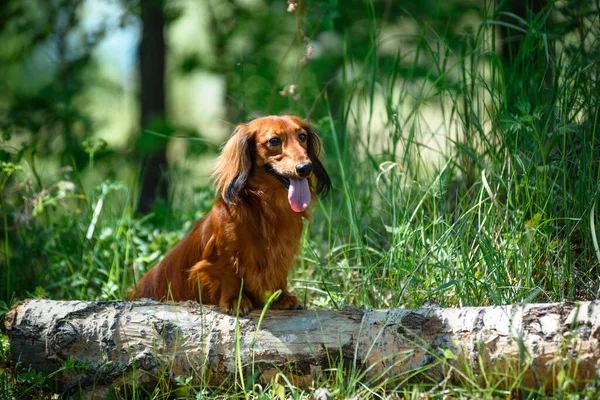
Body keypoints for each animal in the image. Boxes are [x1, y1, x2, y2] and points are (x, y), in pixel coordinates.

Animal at [130, 114, 332, 314]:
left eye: (302, 136)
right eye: (274, 141)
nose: (305, 168)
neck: (267, 209)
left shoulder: (284, 251)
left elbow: (279, 274)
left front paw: (281, 297)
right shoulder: (224, 254)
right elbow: (229, 276)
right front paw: (236, 300)